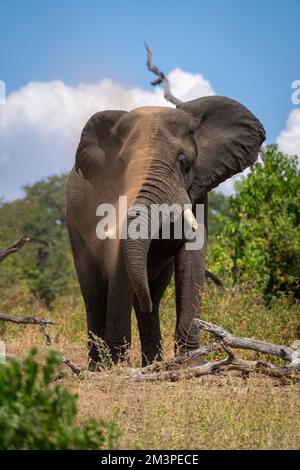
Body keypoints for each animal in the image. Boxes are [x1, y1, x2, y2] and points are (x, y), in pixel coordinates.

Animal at [67, 95, 264, 368]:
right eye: (121, 166)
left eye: (184, 162)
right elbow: (117, 262)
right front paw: (117, 368)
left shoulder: (198, 194)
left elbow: (192, 261)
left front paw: (191, 364)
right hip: (73, 224)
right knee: (95, 294)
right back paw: (99, 367)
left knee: (152, 292)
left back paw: (152, 363)